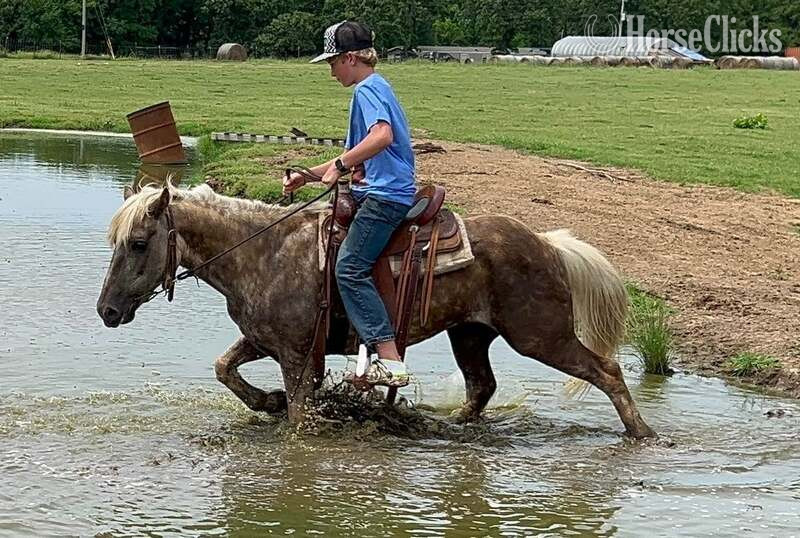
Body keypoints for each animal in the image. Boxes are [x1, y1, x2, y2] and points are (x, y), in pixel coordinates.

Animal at [96, 183, 655, 439]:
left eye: (139, 243)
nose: (106, 310)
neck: (264, 251)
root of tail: (547, 243)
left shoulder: (298, 355)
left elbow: (299, 414)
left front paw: (283, 413)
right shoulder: (264, 340)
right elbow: (223, 368)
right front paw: (267, 402)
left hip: (540, 334)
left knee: (606, 371)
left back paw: (641, 434)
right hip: (470, 333)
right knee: (482, 386)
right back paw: (443, 426)